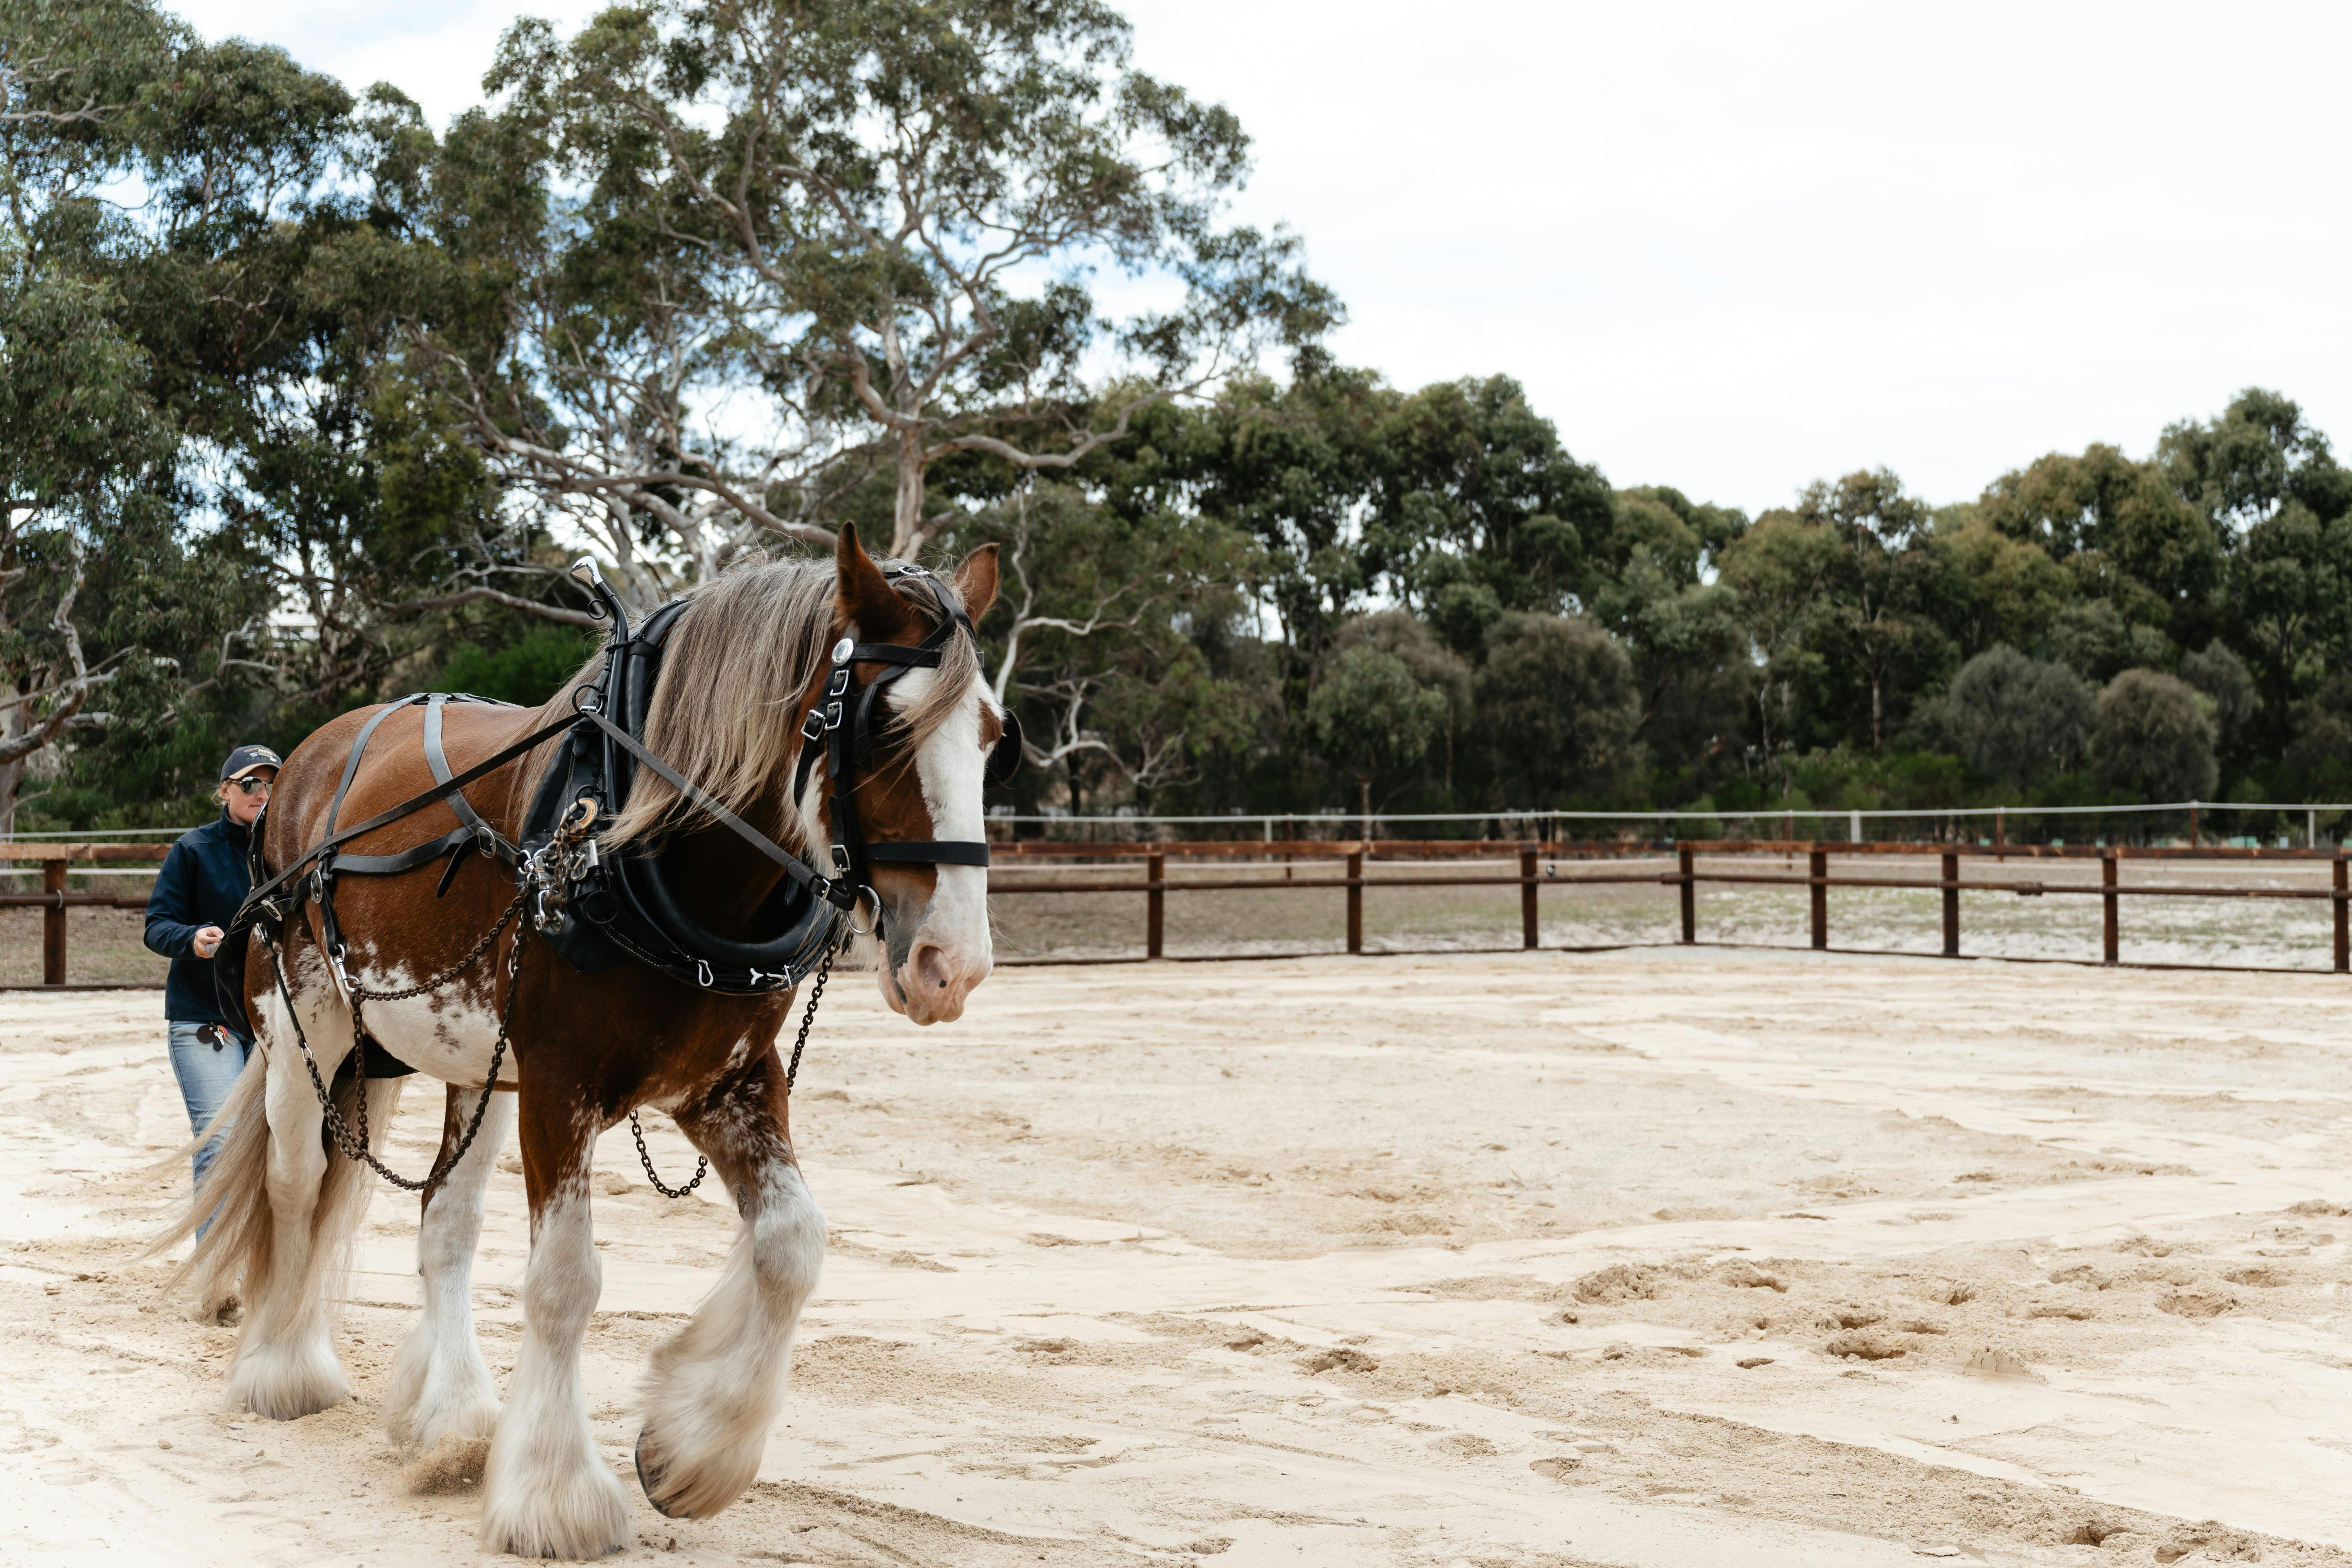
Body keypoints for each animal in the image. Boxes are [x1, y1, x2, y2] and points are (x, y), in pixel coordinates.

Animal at [147, 527, 1004, 1557]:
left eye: (993, 735)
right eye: (881, 726)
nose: (953, 963)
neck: (642, 848)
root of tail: (316, 757)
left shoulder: (727, 1083)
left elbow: (795, 1243)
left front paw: (691, 1451)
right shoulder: (561, 1086)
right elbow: (564, 1280)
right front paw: (555, 1499)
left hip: (475, 1066)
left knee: (443, 1219)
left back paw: (453, 1421)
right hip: (302, 1027)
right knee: (296, 1183)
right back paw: (282, 1366)